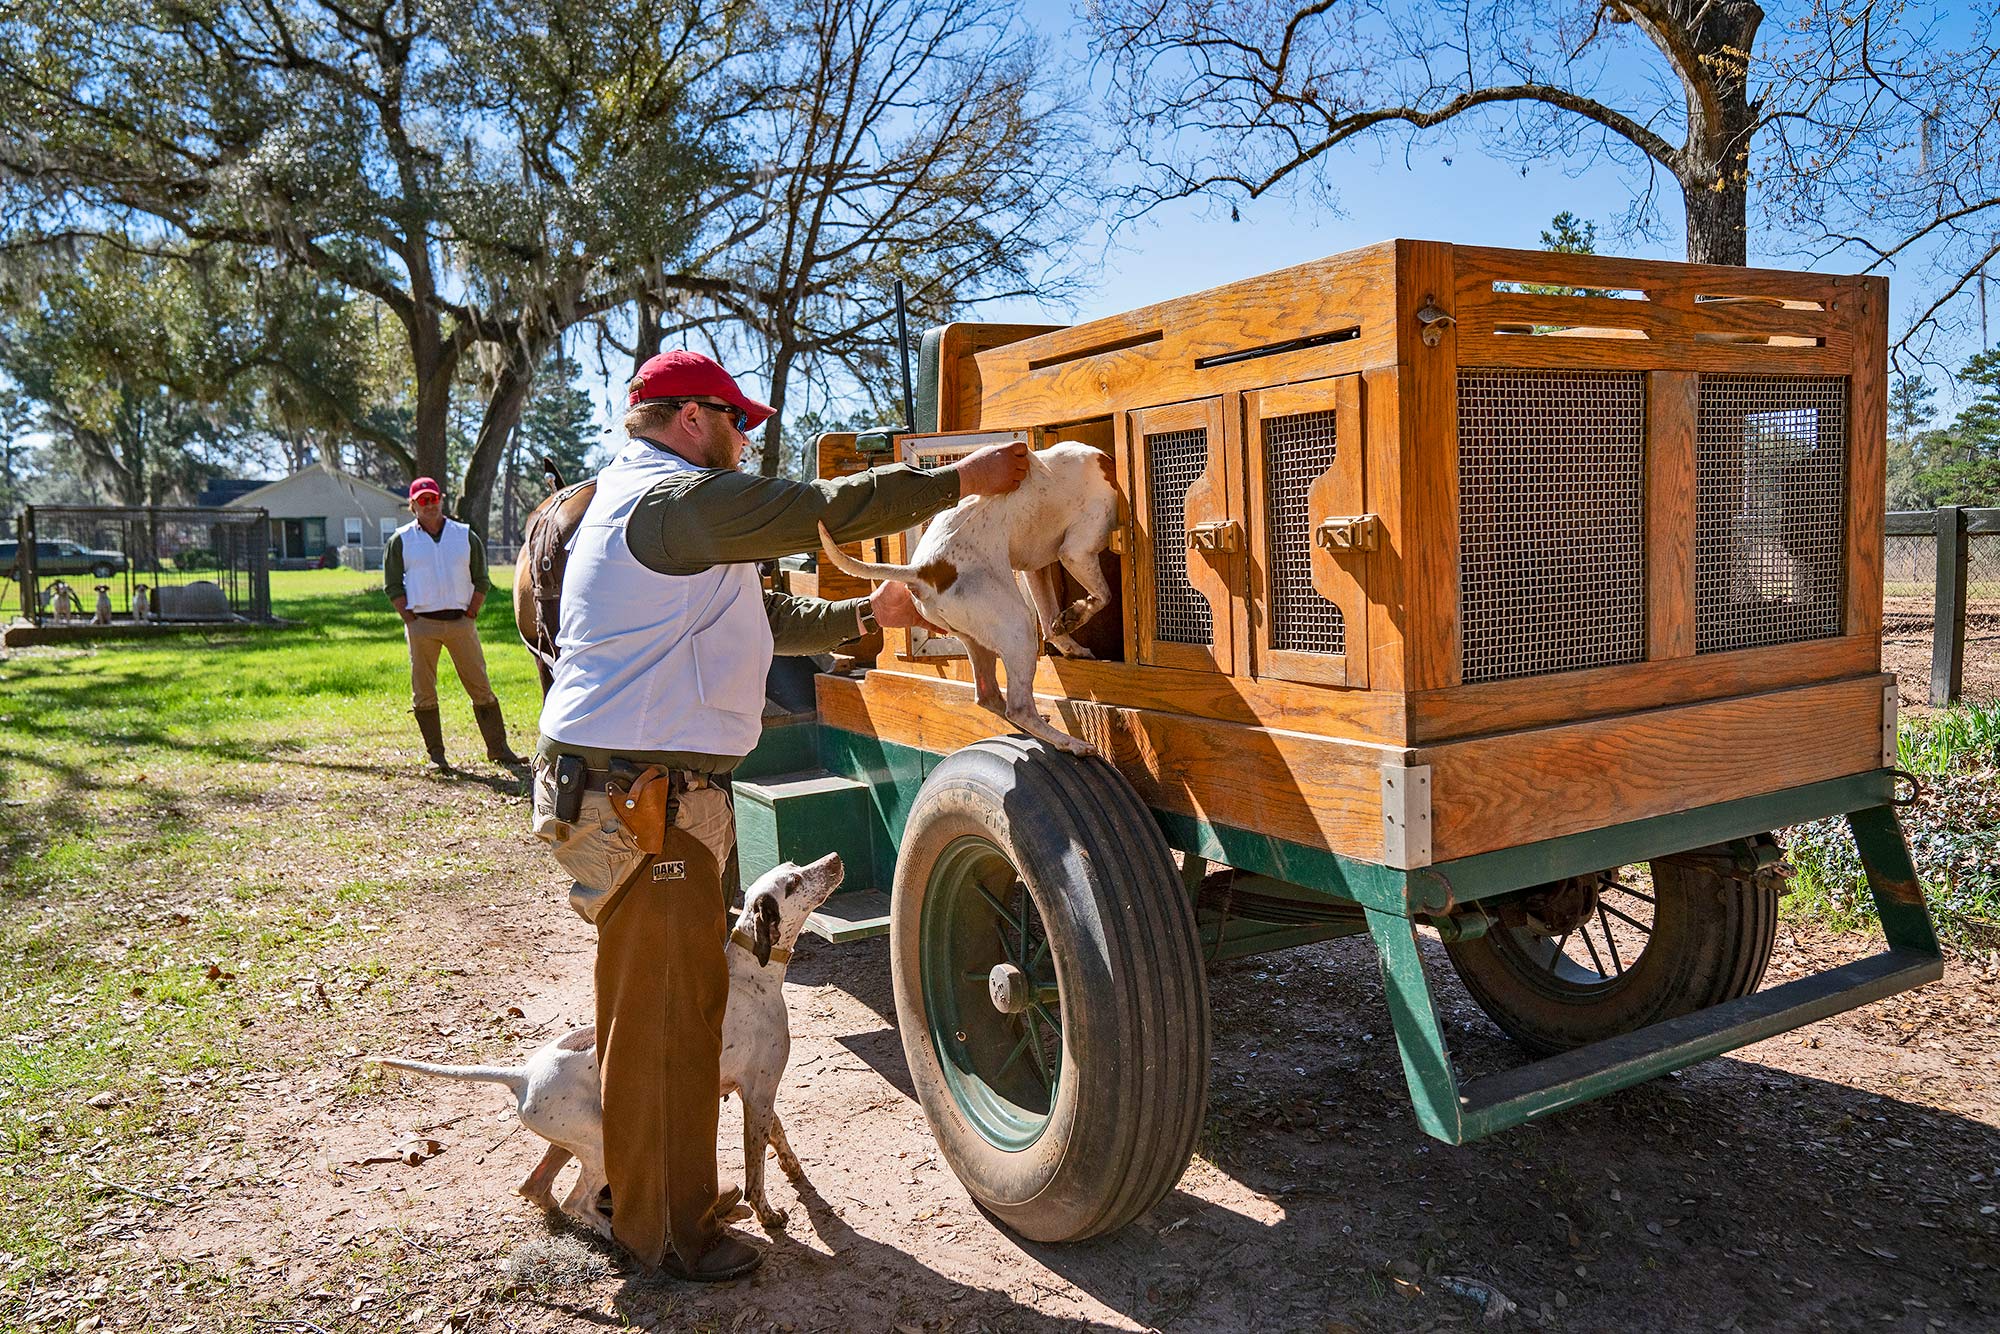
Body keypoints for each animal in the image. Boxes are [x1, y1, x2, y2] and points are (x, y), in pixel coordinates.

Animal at [378, 852, 848, 1240]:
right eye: (793, 883)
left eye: (795, 866)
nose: (835, 858)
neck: (753, 973)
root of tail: (522, 1074)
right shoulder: (758, 1092)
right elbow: (756, 1170)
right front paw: (768, 1214)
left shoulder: (757, 1093)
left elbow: (779, 1140)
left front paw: (796, 1174)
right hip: (600, 1143)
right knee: (577, 1201)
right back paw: (622, 1236)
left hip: (571, 1138)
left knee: (535, 1187)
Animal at [816, 438, 1128, 752]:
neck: (1108, 465)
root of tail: (926, 571)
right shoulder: (1076, 551)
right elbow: (1103, 596)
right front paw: (1077, 614)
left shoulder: (1035, 568)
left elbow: (1052, 623)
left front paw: (1069, 639)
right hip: (1017, 624)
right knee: (1018, 707)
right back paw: (1069, 742)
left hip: (977, 635)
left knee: (989, 696)